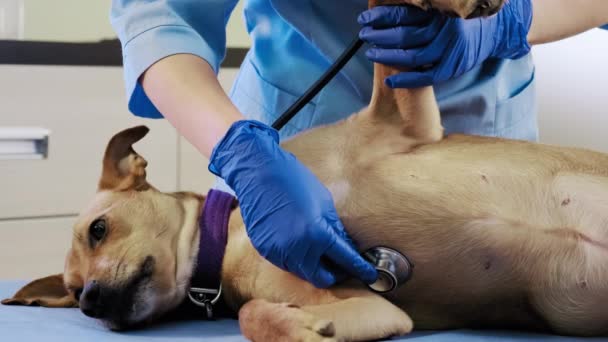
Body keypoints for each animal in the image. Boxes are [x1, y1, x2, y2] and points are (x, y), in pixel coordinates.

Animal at [1, 0, 608, 340]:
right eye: (72, 292)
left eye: (98, 229)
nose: (90, 301)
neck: (233, 239)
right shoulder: (376, 307)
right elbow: (256, 315)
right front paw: (302, 326)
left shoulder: (402, 119)